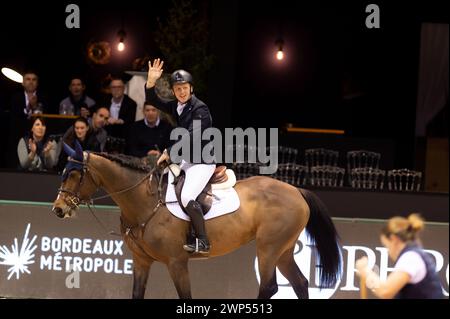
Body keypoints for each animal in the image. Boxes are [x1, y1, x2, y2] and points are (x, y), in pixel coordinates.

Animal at [51, 145, 342, 300]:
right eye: (63, 172)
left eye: (74, 175)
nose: (58, 209)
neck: (143, 201)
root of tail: (297, 191)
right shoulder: (142, 261)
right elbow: (137, 295)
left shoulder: (177, 262)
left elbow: (186, 297)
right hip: (283, 249)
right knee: (300, 283)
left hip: (268, 248)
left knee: (270, 286)